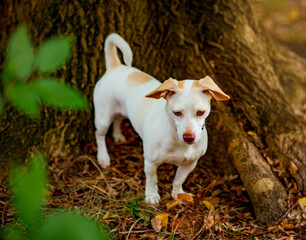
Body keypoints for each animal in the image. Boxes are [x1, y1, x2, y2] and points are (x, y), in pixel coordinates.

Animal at [93, 33, 230, 204]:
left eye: (200, 112)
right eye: (177, 112)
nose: (189, 137)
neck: (176, 139)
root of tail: (116, 67)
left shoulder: (190, 163)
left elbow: (178, 179)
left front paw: (178, 194)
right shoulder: (150, 163)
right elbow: (152, 180)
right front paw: (151, 196)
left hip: (121, 110)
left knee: (118, 120)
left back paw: (118, 135)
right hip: (103, 118)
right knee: (100, 135)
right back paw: (103, 157)